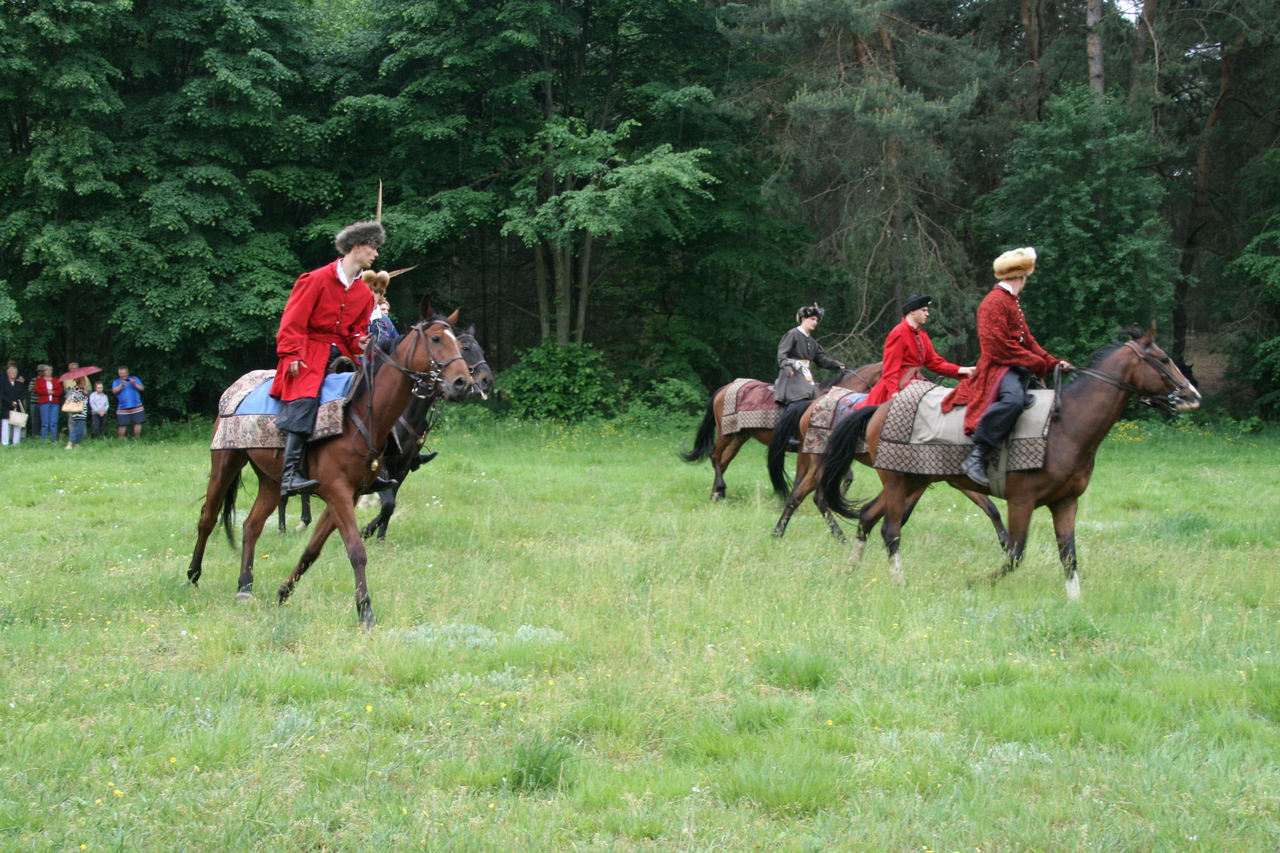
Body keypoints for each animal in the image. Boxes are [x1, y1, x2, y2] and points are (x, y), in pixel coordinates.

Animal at [186, 300, 473, 625]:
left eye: (458, 343)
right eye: (436, 339)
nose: (463, 383)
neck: (362, 415)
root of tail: (237, 387)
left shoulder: (348, 495)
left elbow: (312, 550)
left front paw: (283, 593)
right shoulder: (337, 493)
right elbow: (356, 550)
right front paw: (366, 612)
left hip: (271, 481)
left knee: (251, 526)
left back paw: (245, 587)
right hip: (225, 462)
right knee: (208, 518)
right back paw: (193, 574)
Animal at [680, 361, 880, 499]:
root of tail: (725, 387)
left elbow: (845, 476)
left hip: (739, 437)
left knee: (723, 462)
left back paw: (717, 494)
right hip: (725, 433)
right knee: (715, 456)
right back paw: (719, 489)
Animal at [757, 386, 1008, 545]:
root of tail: (812, 404)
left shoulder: (948, 481)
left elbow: (991, 508)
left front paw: (1006, 543)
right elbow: (901, 513)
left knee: (799, 494)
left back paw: (780, 533)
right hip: (823, 463)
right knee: (814, 496)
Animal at [819, 322, 1198, 594]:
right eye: (1164, 359)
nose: (1193, 395)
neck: (1065, 426)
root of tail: (879, 407)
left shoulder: (1065, 502)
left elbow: (1069, 556)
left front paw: (1075, 601)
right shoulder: (1022, 501)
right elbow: (1016, 554)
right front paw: (974, 582)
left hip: (913, 481)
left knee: (868, 517)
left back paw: (850, 571)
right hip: (899, 482)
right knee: (890, 529)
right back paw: (899, 582)